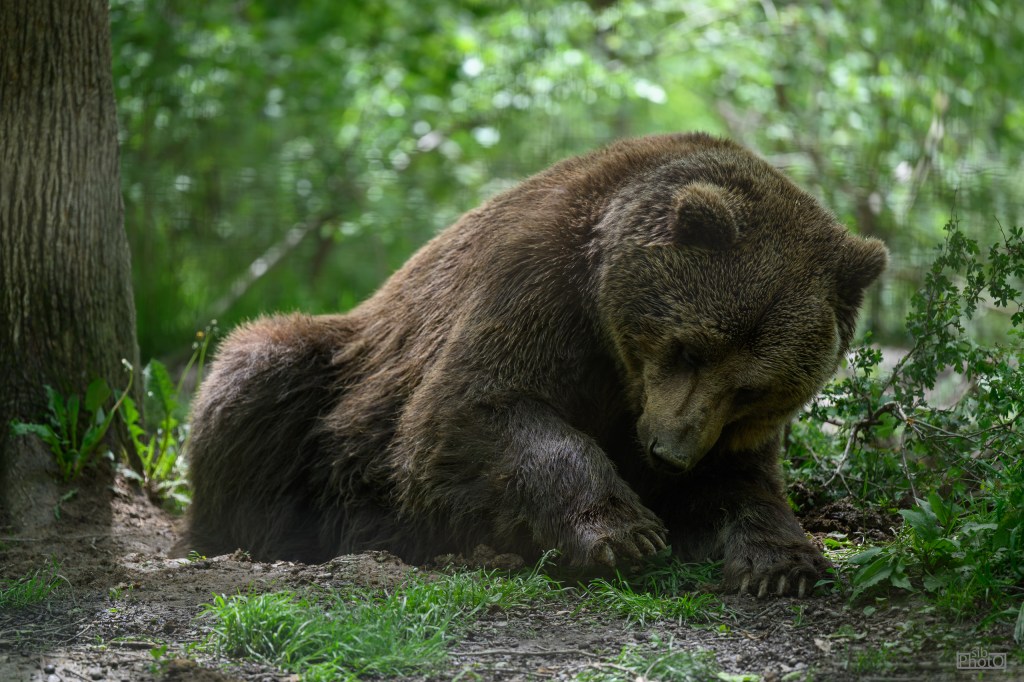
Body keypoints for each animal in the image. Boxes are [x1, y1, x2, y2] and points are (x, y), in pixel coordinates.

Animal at [183, 133, 888, 597]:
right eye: (690, 348)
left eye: (753, 389)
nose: (669, 453)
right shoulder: (536, 288)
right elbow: (474, 413)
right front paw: (623, 532)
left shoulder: (715, 428)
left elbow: (740, 484)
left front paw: (784, 562)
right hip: (335, 372)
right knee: (261, 380)